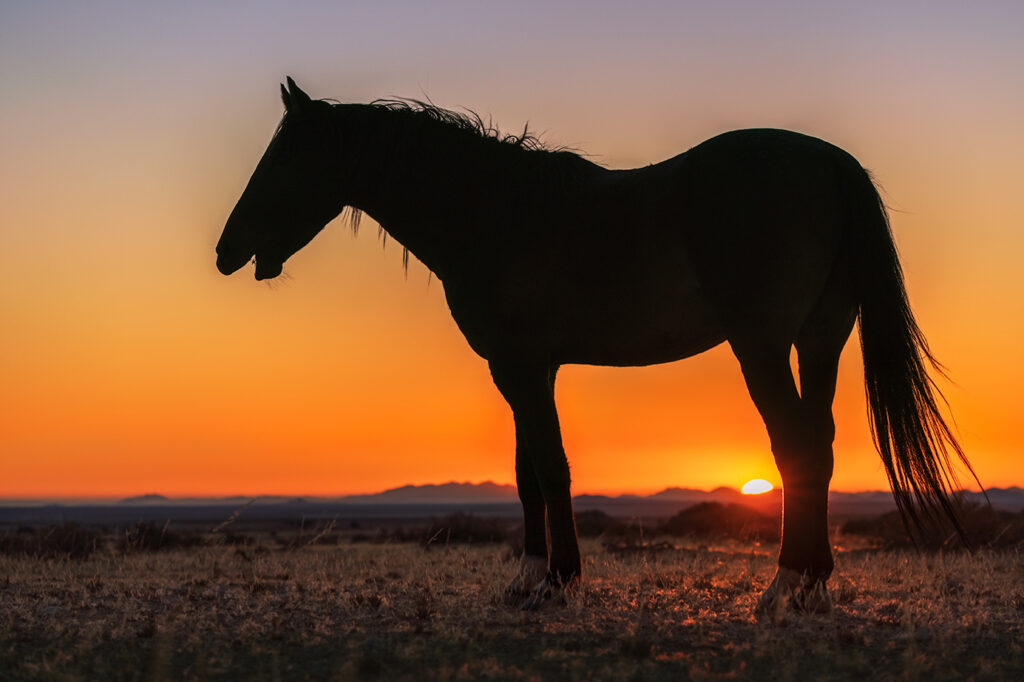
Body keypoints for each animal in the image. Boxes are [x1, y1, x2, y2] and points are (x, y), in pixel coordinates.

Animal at [214, 78, 974, 610]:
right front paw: (531, 579)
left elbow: (550, 469)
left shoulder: (521, 367)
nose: (227, 250)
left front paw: (555, 580)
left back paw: (784, 586)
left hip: (761, 346)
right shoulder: (525, 369)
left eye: (285, 158)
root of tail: (832, 164)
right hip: (821, 340)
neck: (494, 211)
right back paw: (814, 584)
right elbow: (528, 471)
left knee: (796, 447)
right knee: (821, 444)